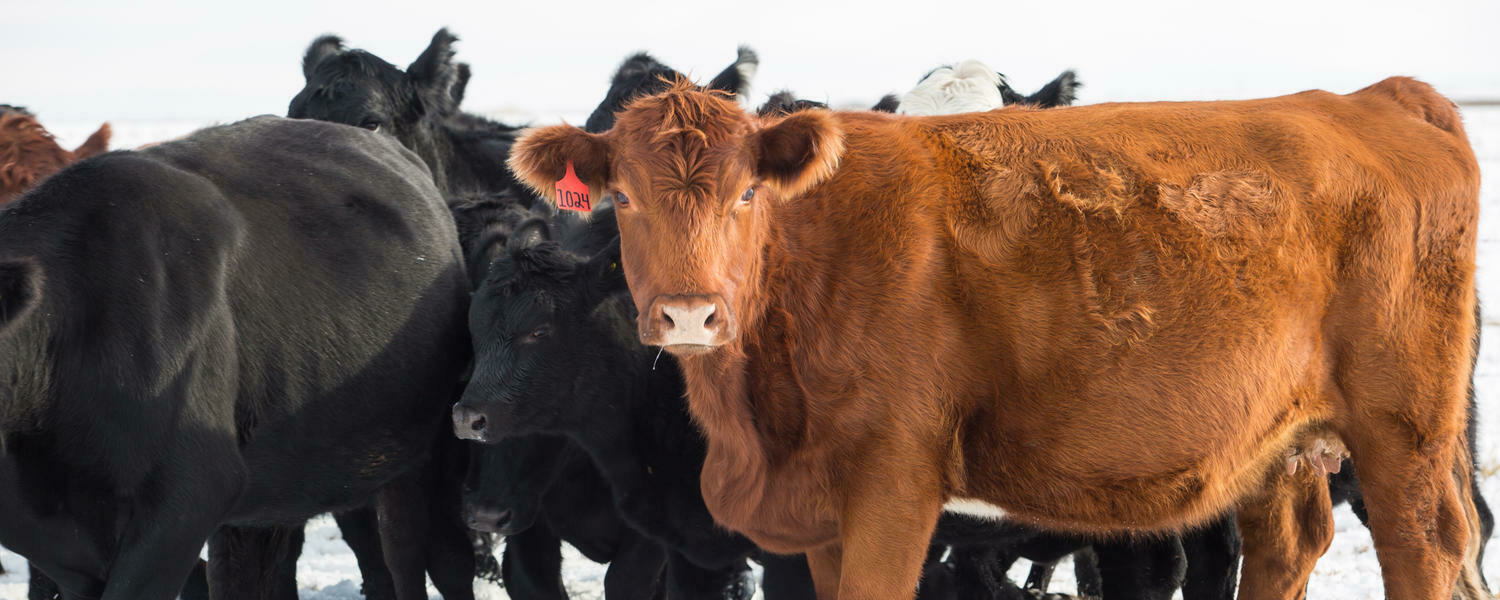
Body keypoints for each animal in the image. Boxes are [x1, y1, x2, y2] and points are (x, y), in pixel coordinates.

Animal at [504, 77, 1486, 599]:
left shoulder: (893, 485)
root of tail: (1366, 99)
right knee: (1287, 545)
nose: (689, 315)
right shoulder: (818, 506)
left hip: (1403, 426)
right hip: (1282, 437)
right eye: (624, 198)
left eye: (747, 193)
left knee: (1425, 544)